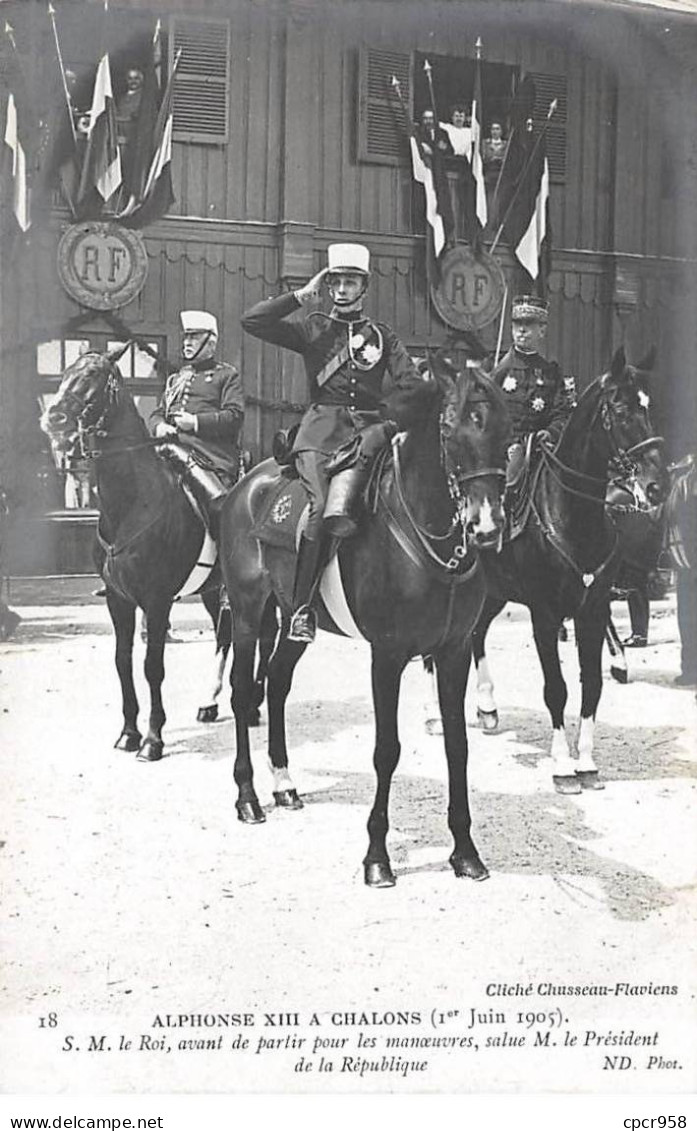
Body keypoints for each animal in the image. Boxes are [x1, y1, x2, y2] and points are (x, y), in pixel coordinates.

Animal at [40, 348, 263, 764]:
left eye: (93, 375)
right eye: (64, 373)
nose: (54, 418)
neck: (131, 503)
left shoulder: (157, 602)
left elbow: (152, 667)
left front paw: (152, 739)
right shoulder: (119, 600)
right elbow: (123, 662)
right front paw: (128, 732)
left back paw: (255, 703)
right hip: (213, 589)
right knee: (224, 635)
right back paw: (210, 703)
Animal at [220, 357, 509, 886]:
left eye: (508, 428)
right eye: (452, 429)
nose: (486, 528)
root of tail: (249, 483)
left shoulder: (454, 652)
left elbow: (458, 745)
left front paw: (465, 850)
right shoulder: (388, 657)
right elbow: (386, 750)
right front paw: (377, 856)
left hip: (294, 620)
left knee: (277, 682)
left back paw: (284, 783)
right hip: (249, 614)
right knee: (242, 689)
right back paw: (248, 798)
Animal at [463, 348, 665, 791]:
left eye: (649, 406)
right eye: (621, 410)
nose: (657, 485)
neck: (571, 514)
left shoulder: (592, 609)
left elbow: (592, 685)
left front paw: (586, 761)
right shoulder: (545, 613)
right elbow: (555, 688)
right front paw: (561, 765)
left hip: (495, 591)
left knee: (477, 633)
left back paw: (487, 706)